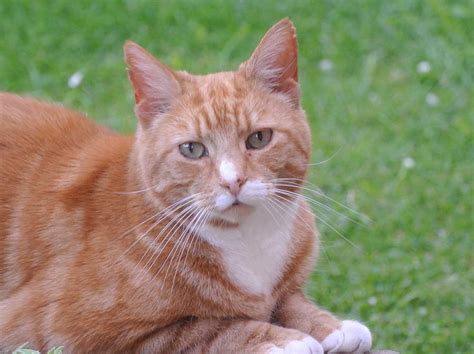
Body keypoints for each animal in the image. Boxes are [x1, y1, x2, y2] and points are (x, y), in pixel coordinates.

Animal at [0, 20, 372, 354]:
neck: (247, 238)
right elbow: (208, 327)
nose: (233, 181)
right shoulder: (61, 330)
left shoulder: (285, 291)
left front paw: (331, 325)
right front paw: (282, 339)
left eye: (259, 138)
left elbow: (291, 301)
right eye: (192, 149)